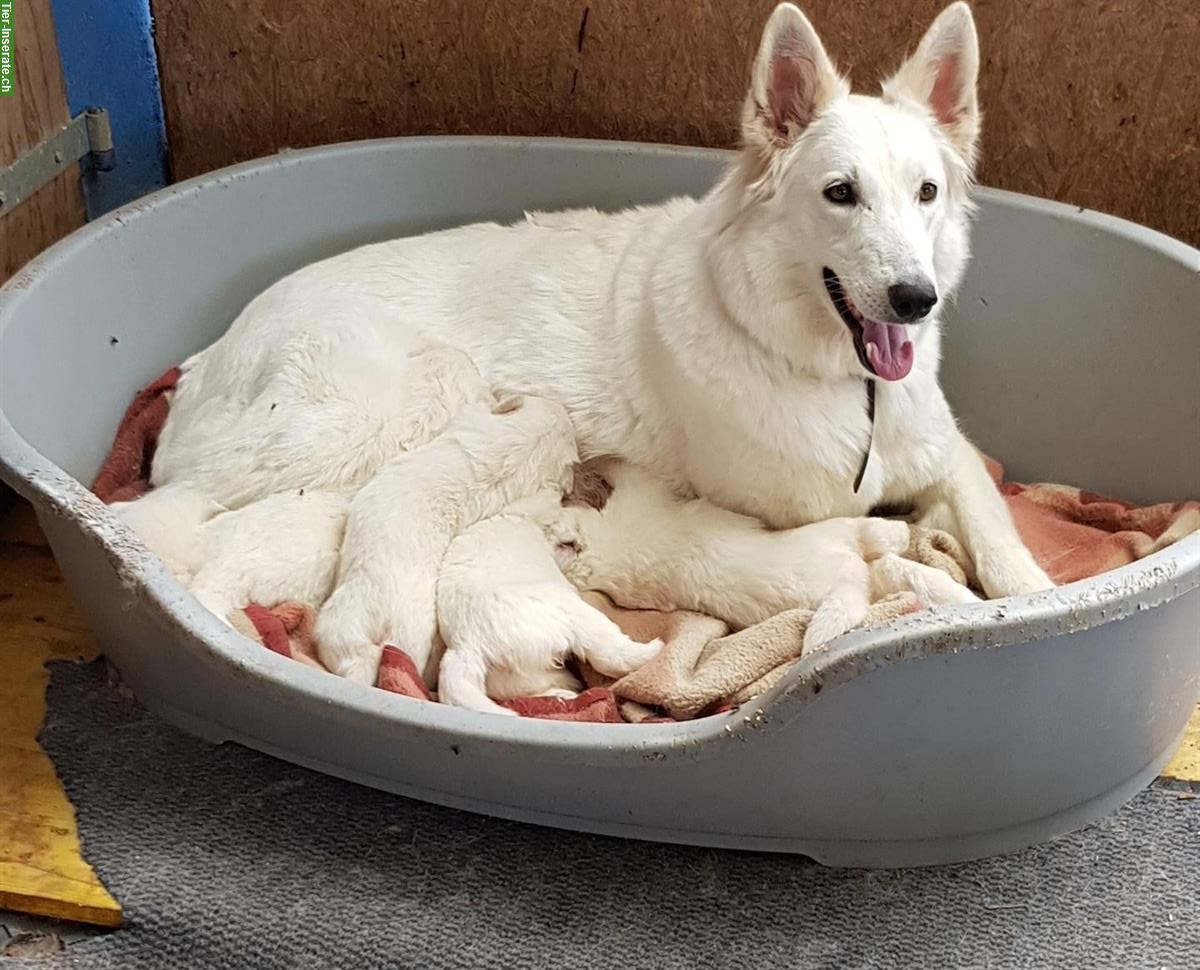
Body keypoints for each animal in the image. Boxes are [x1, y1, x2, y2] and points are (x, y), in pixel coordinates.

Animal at [147, 3, 1051, 609]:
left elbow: (995, 530)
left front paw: (1037, 602)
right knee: (180, 496)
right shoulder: (792, 510)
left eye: (926, 193)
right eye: (841, 194)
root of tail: (208, 356)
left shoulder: (951, 455)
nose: (913, 300)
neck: (844, 389)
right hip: (403, 399)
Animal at [436, 497, 667, 715]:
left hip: (515, 674)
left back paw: (562, 694)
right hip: (575, 614)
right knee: (610, 656)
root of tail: (468, 644)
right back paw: (653, 649)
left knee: (523, 688)